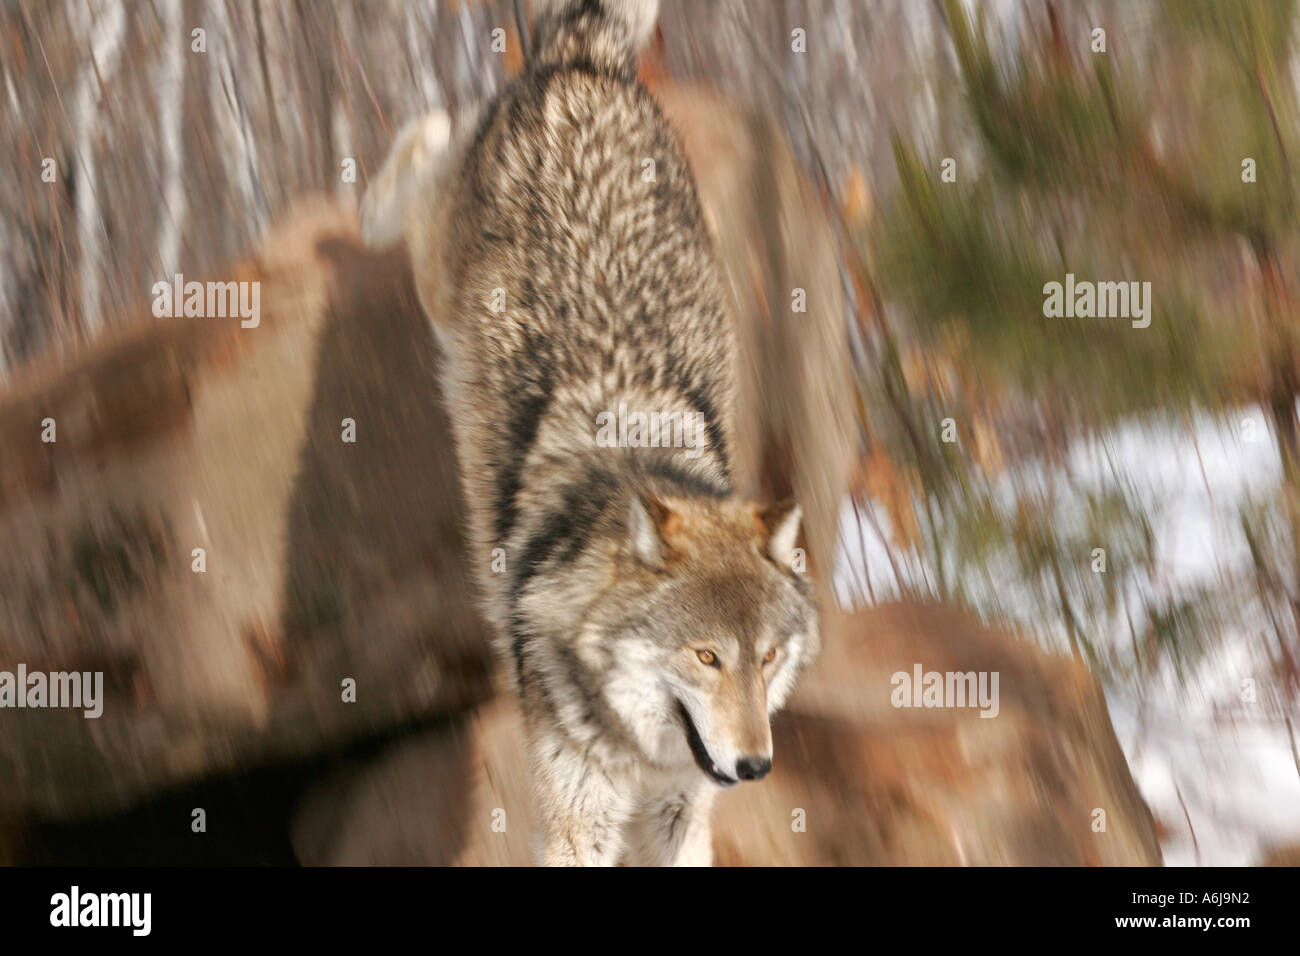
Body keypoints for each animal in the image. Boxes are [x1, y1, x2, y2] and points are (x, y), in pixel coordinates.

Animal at [361, 0, 816, 868]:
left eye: (766, 657)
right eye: (706, 656)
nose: (755, 765)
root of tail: (585, 64)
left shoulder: (681, 816)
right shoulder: (578, 820)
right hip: (438, 281)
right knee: (427, 143)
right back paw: (364, 211)